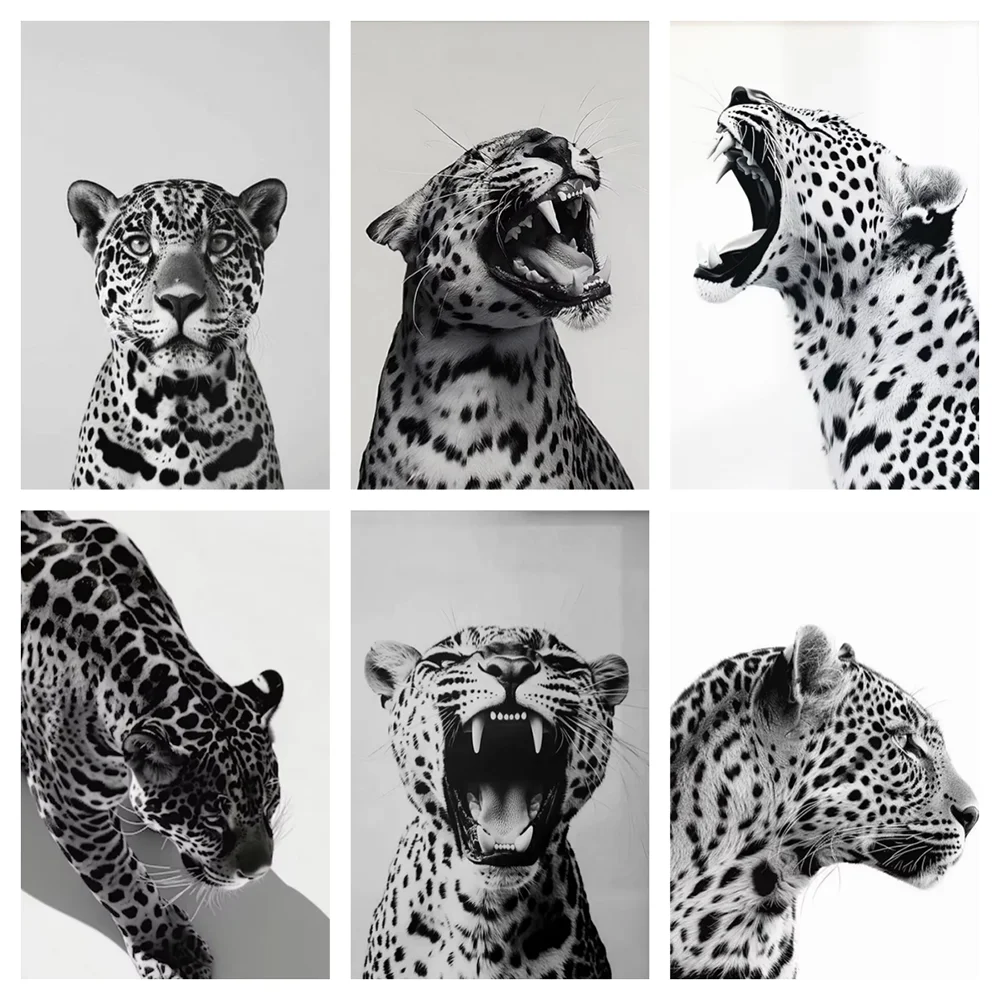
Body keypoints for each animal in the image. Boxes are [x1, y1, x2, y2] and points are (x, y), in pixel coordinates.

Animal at [21, 510, 284, 978]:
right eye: (212, 819)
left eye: (271, 800)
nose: (259, 871)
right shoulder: (69, 806)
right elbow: (121, 882)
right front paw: (170, 949)